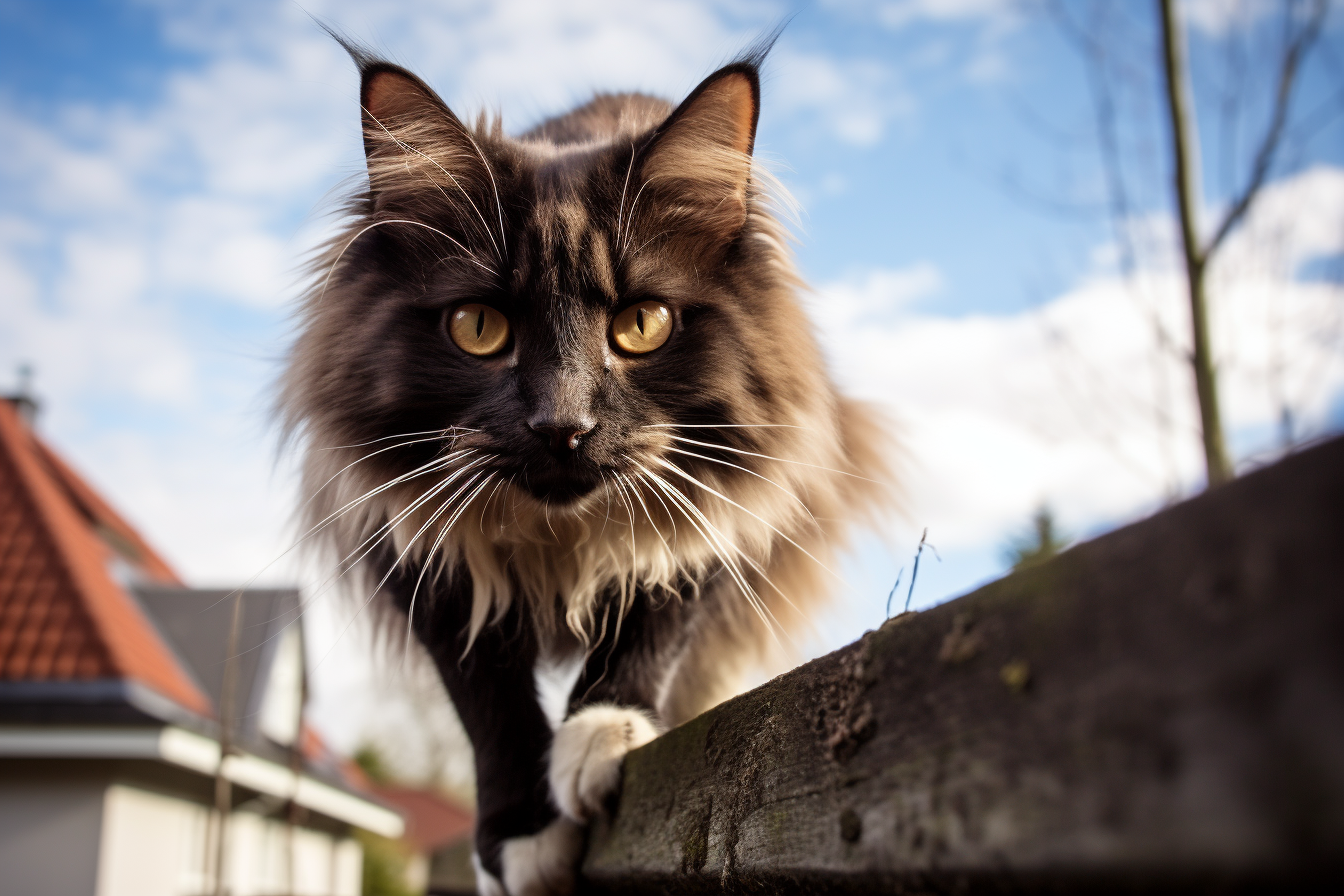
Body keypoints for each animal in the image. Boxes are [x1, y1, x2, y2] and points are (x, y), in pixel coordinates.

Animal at [280, 33, 892, 896]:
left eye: (642, 325)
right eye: (478, 327)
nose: (562, 426)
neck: (560, 533)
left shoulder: (740, 494)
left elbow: (660, 612)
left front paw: (600, 734)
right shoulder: (406, 537)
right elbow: (487, 699)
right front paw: (522, 833)